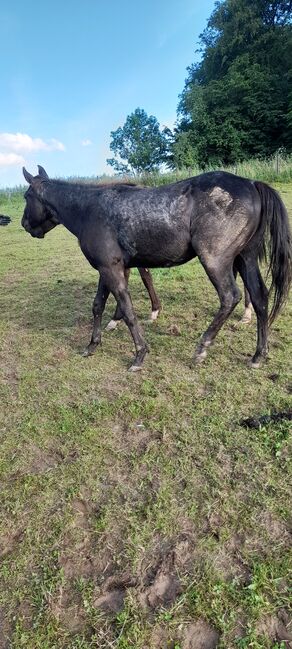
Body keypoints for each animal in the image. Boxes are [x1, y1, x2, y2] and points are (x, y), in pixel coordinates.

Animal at [21, 165, 290, 370]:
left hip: (216, 260)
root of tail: (251, 183)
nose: (24, 224)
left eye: (26, 197)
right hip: (246, 258)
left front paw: (139, 354)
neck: (89, 210)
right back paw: (258, 355)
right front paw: (92, 345)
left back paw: (202, 348)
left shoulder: (111, 270)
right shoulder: (106, 269)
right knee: (260, 297)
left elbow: (127, 310)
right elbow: (97, 305)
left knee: (229, 296)